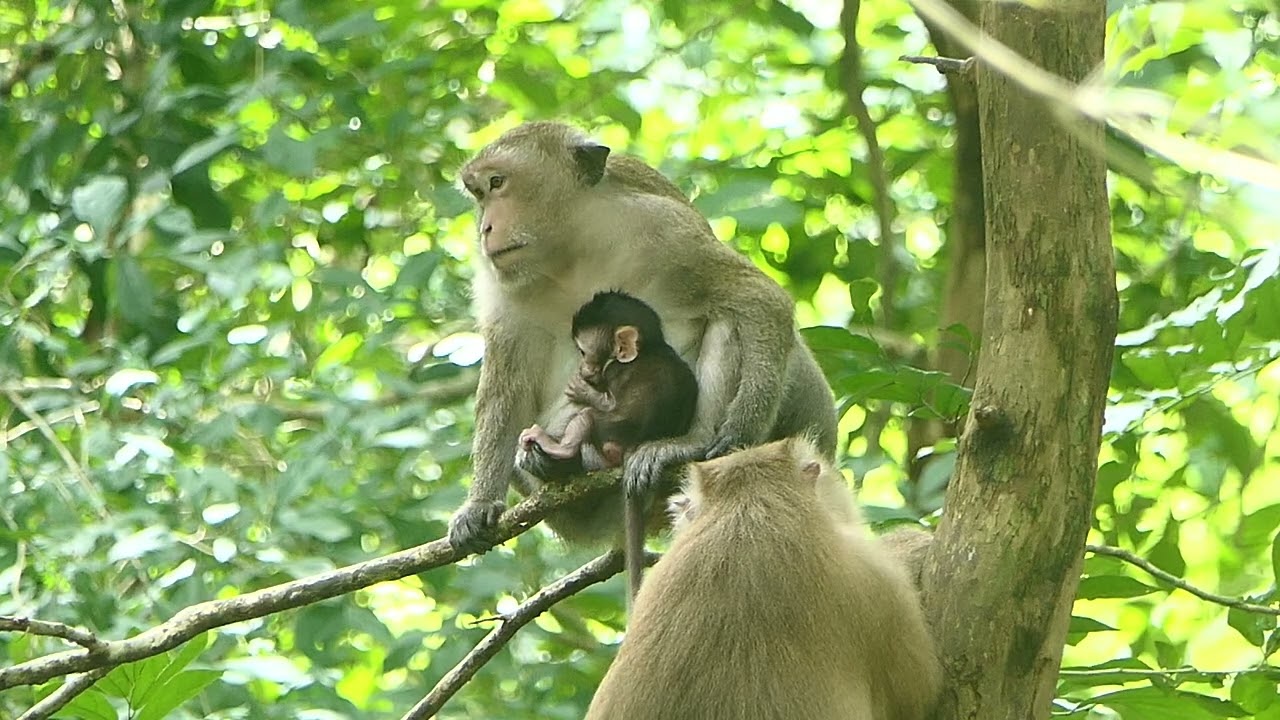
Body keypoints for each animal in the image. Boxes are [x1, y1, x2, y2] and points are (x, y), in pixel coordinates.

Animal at [448, 121, 838, 553]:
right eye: (479, 194)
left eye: (497, 183)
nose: (485, 228)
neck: (572, 252)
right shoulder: (500, 285)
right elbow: (508, 390)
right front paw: (480, 503)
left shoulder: (666, 229)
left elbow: (756, 296)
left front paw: (741, 427)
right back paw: (554, 464)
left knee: (729, 322)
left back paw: (688, 444)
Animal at [517, 290, 699, 597]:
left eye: (582, 352)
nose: (582, 368)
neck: (651, 347)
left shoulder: (615, 371)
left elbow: (607, 402)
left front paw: (583, 390)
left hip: (611, 434)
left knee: (589, 417)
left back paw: (558, 450)